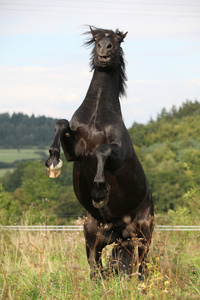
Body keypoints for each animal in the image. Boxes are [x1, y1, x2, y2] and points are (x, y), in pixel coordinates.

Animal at [45, 26, 155, 278]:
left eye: (117, 40)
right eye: (96, 39)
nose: (104, 49)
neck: (96, 118)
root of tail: (120, 230)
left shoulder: (116, 154)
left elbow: (102, 150)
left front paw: (99, 190)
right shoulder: (75, 152)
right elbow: (61, 124)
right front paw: (52, 162)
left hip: (142, 236)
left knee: (140, 269)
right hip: (94, 236)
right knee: (97, 271)